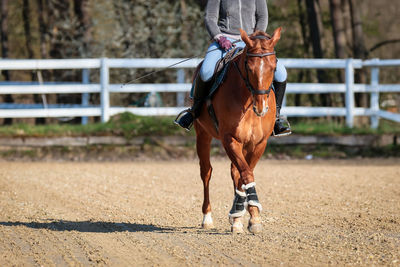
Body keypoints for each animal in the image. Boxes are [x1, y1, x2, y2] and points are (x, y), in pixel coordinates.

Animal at [194, 27, 282, 234]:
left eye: (274, 67)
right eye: (249, 67)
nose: (261, 108)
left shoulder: (258, 143)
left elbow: (244, 174)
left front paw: (245, 216)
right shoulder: (230, 139)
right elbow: (246, 173)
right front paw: (251, 217)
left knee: (235, 172)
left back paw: (237, 215)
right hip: (203, 135)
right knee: (206, 172)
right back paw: (207, 218)